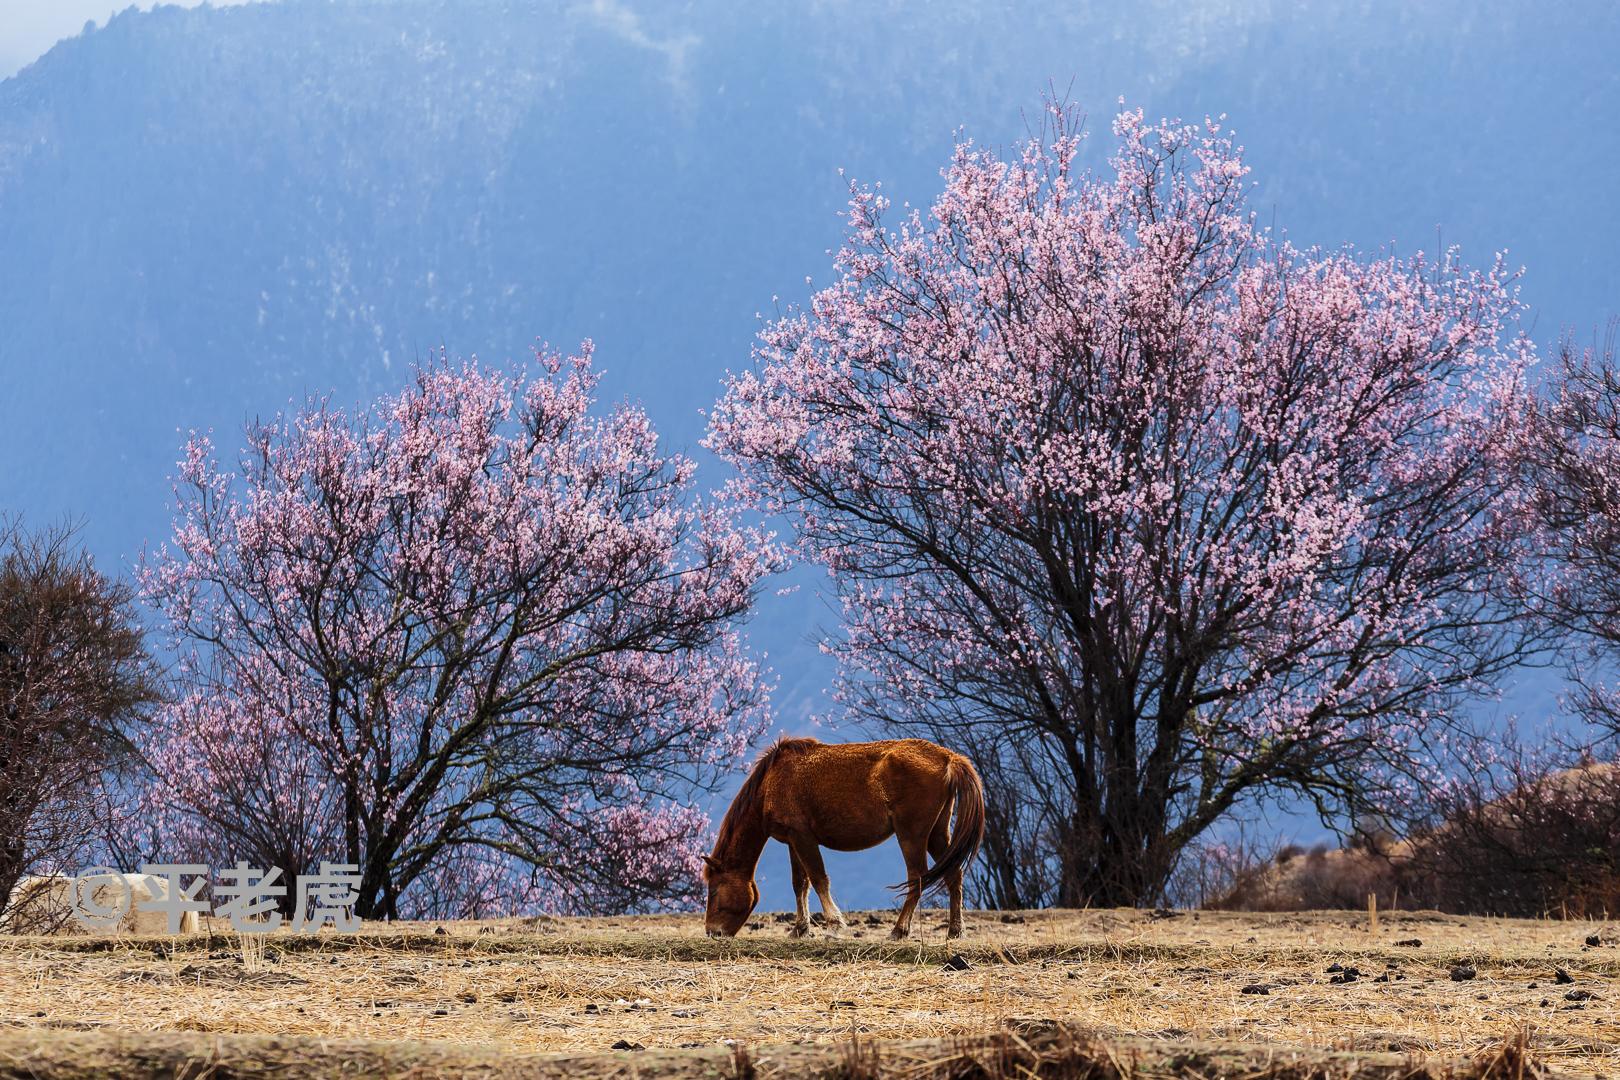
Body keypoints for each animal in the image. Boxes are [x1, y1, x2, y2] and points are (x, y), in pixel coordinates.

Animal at [699, 738, 978, 939]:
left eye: (713, 890)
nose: (713, 932)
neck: (771, 783)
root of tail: (947, 758)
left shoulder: (803, 837)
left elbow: (818, 878)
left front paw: (833, 925)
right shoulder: (792, 841)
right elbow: (800, 883)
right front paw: (800, 929)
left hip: (911, 834)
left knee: (917, 877)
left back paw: (899, 930)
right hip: (936, 834)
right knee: (953, 874)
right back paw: (955, 930)